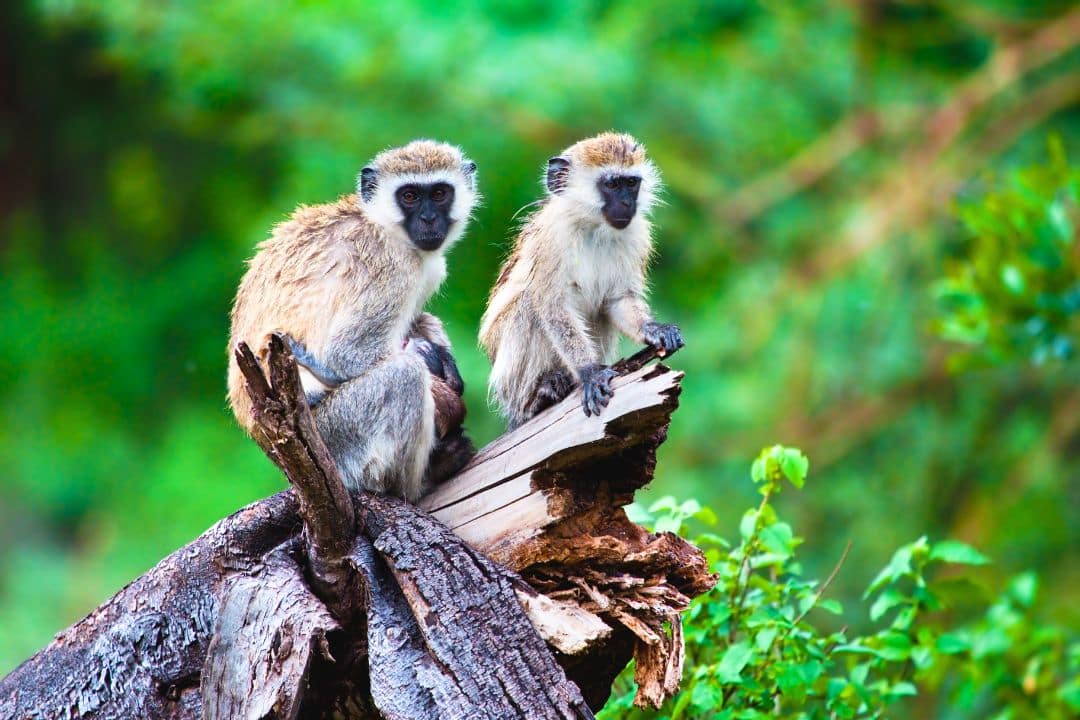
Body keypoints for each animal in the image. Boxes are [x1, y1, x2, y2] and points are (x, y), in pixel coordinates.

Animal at [228, 139, 479, 501]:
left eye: (440, 193)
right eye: (409, 196)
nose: (429, 219)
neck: (381, 224)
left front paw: (445, 364)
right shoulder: (392, 269)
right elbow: (346, 355)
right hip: (336, 439)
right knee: (403, 376)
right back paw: (418, 483)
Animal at [479, 132, 683, 429]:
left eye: (631, 183)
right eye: (611, 184)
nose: (627, 204)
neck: (593, 227)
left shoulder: (637, 235)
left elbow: (617, 300)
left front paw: (653, 329)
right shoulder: (552, 237)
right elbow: (551, 307)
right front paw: (589, 372)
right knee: (528, 306)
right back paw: (539, 395)